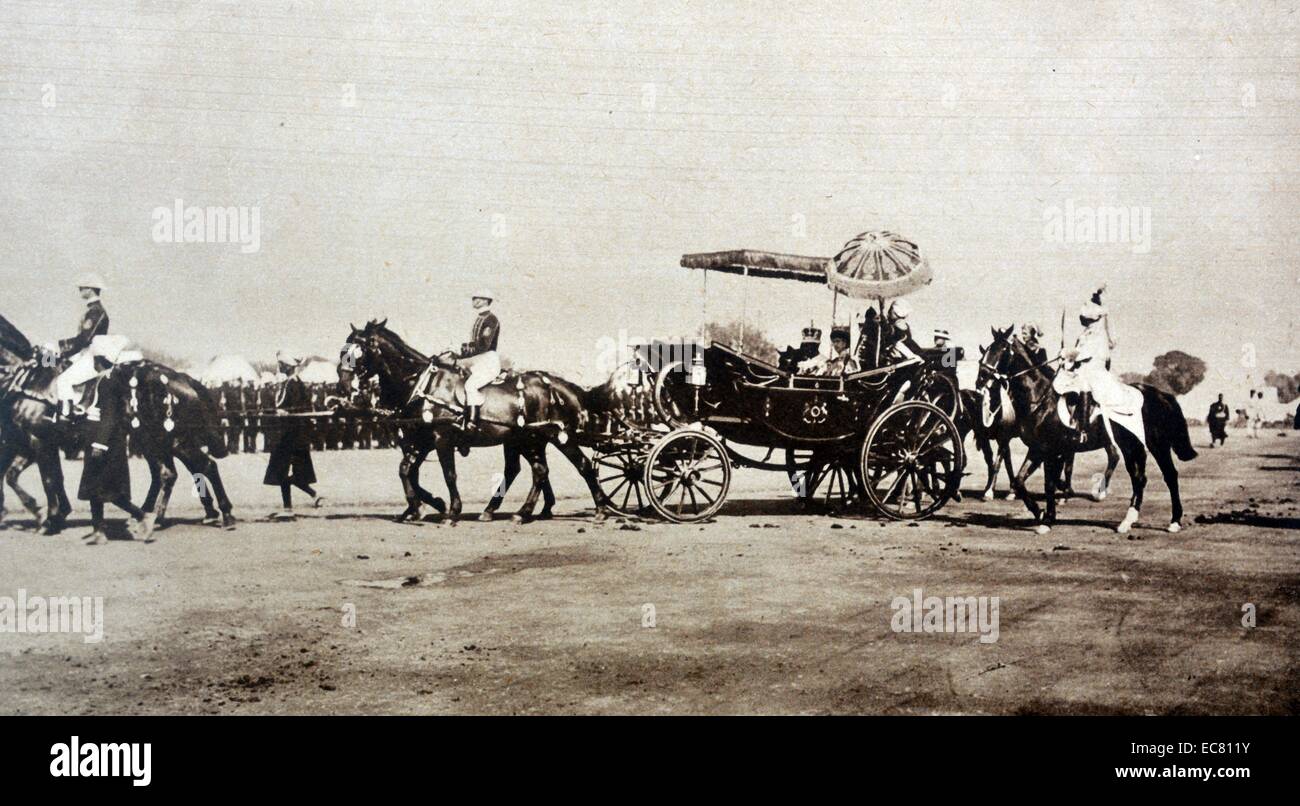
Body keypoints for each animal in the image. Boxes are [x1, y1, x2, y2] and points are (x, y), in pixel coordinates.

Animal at [977, 327, 1196, 535]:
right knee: (1138, 478)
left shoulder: (1050, 451)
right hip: (1132, 446)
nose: (980, 378)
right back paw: (1127, 521)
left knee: (1169, 475)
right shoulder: (1038, 449)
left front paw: (1047, 519)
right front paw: (1041, 513)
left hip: (1157, 445)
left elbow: (1049, 484)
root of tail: (1160, 394)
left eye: (1002, 350)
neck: (1040, 399)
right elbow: (1019, 481)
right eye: (986, 350)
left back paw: (1174, 522)